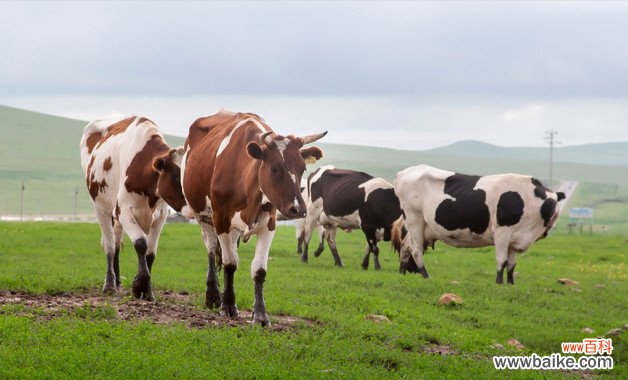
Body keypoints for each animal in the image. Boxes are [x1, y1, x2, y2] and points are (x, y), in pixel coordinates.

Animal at [78, 116, 188, 300]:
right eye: (174, 176)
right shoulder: (123, 211)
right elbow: (141, 243)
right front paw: (139, 285)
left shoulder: (160, 216)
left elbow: (150, 253)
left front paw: (148, 291)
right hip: (100, 208)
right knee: (109, 244)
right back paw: (109, 284)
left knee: (116, 243)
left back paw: (117, 282)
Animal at [178, 108, 322, 326]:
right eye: (274, 168)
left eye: (302, 168)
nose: (298, 209)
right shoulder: (221, 219)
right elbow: (230, 263)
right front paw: (228, 306)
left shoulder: (269, 223)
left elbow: (259, 270)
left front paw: (260, 314)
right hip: (202, 215)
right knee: (211, 249)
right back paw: (213, 295)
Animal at [392, 165, 564, 284]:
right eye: (551, 204)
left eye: (556, 203)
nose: (555, 215)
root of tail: (404, 173)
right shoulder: (502, 232)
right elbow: (502, 260)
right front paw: (499, 283)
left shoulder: (514, 239)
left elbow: (512, 264)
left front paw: (511, 284)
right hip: (414, 219)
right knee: (416, 250)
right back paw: (426, 275)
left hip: (423, 227)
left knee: (406, 246)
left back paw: (401, 273)